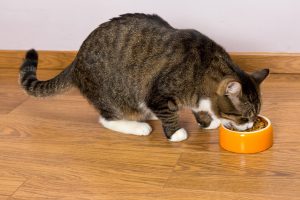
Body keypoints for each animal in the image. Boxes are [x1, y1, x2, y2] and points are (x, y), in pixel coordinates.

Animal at [19, 13, 270, 141]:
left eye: (254, 117)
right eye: (244, 117)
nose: (250, 126)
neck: (203, 69)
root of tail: (76, 60)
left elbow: (198, 109)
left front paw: (207, 121)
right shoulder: (158, 93)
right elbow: (170, 115)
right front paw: (175, 133)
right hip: (112, 94)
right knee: (106, 118)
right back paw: (138, 126)